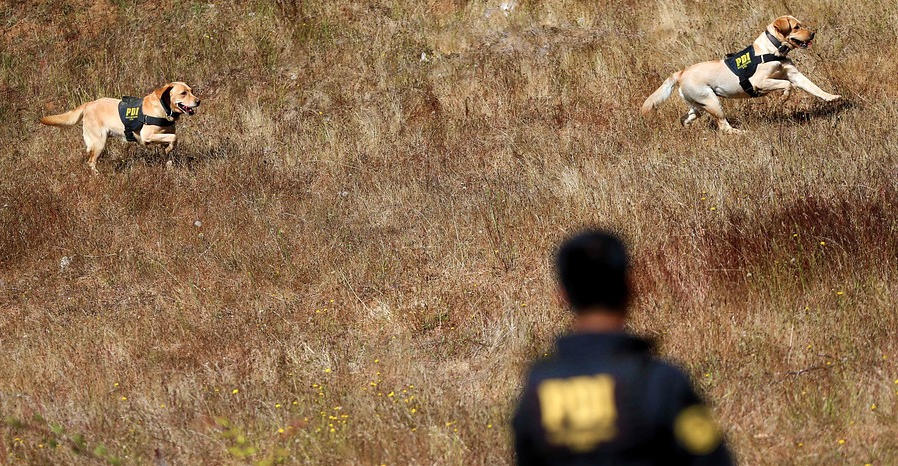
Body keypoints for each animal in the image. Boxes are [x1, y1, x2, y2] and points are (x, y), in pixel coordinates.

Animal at [40, 82, 200, 173]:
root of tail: (89, 104)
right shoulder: (147, 137)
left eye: (192, 91)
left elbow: (170, 146)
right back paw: (97, 176)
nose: (198, 101)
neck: (163, 108)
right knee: (91, 161)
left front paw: (169, 163)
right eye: (183, 93)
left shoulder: (162, 137)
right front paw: (169, 149)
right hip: (99, 142)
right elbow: (174, 137)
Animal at [640, 15, 836, 133]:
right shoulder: (759, 81)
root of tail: (681, 72)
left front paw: (832, 97)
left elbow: (814, 88)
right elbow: (787, 85)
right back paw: (741, 132)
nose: (813, 34)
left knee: (685, 119)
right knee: (724, 128)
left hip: (699, 106)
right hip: (713, 102)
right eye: (796, 27)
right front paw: (784, 97)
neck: (773, 50)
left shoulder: (795, 75)